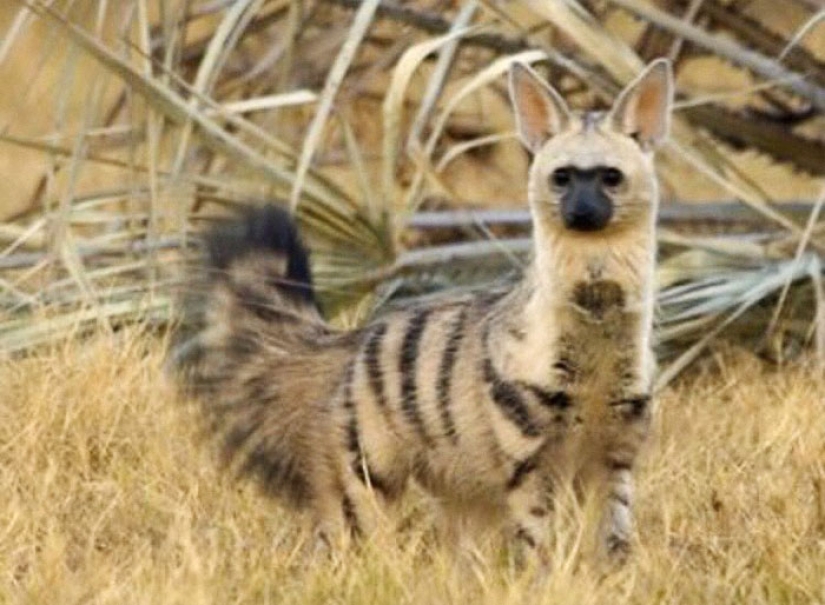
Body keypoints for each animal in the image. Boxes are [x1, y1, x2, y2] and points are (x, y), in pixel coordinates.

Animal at [172, 59, 673, 563]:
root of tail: (348, 343)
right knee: (342, 539)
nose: (582, 212)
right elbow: (538, 540)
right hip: (366, 472)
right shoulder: (527, 458)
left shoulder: (616, 452)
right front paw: (547, 573)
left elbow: (613, 535)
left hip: (463, 487)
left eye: (611, 176)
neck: (597, 340)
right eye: (563, 176)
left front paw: (611, 572)